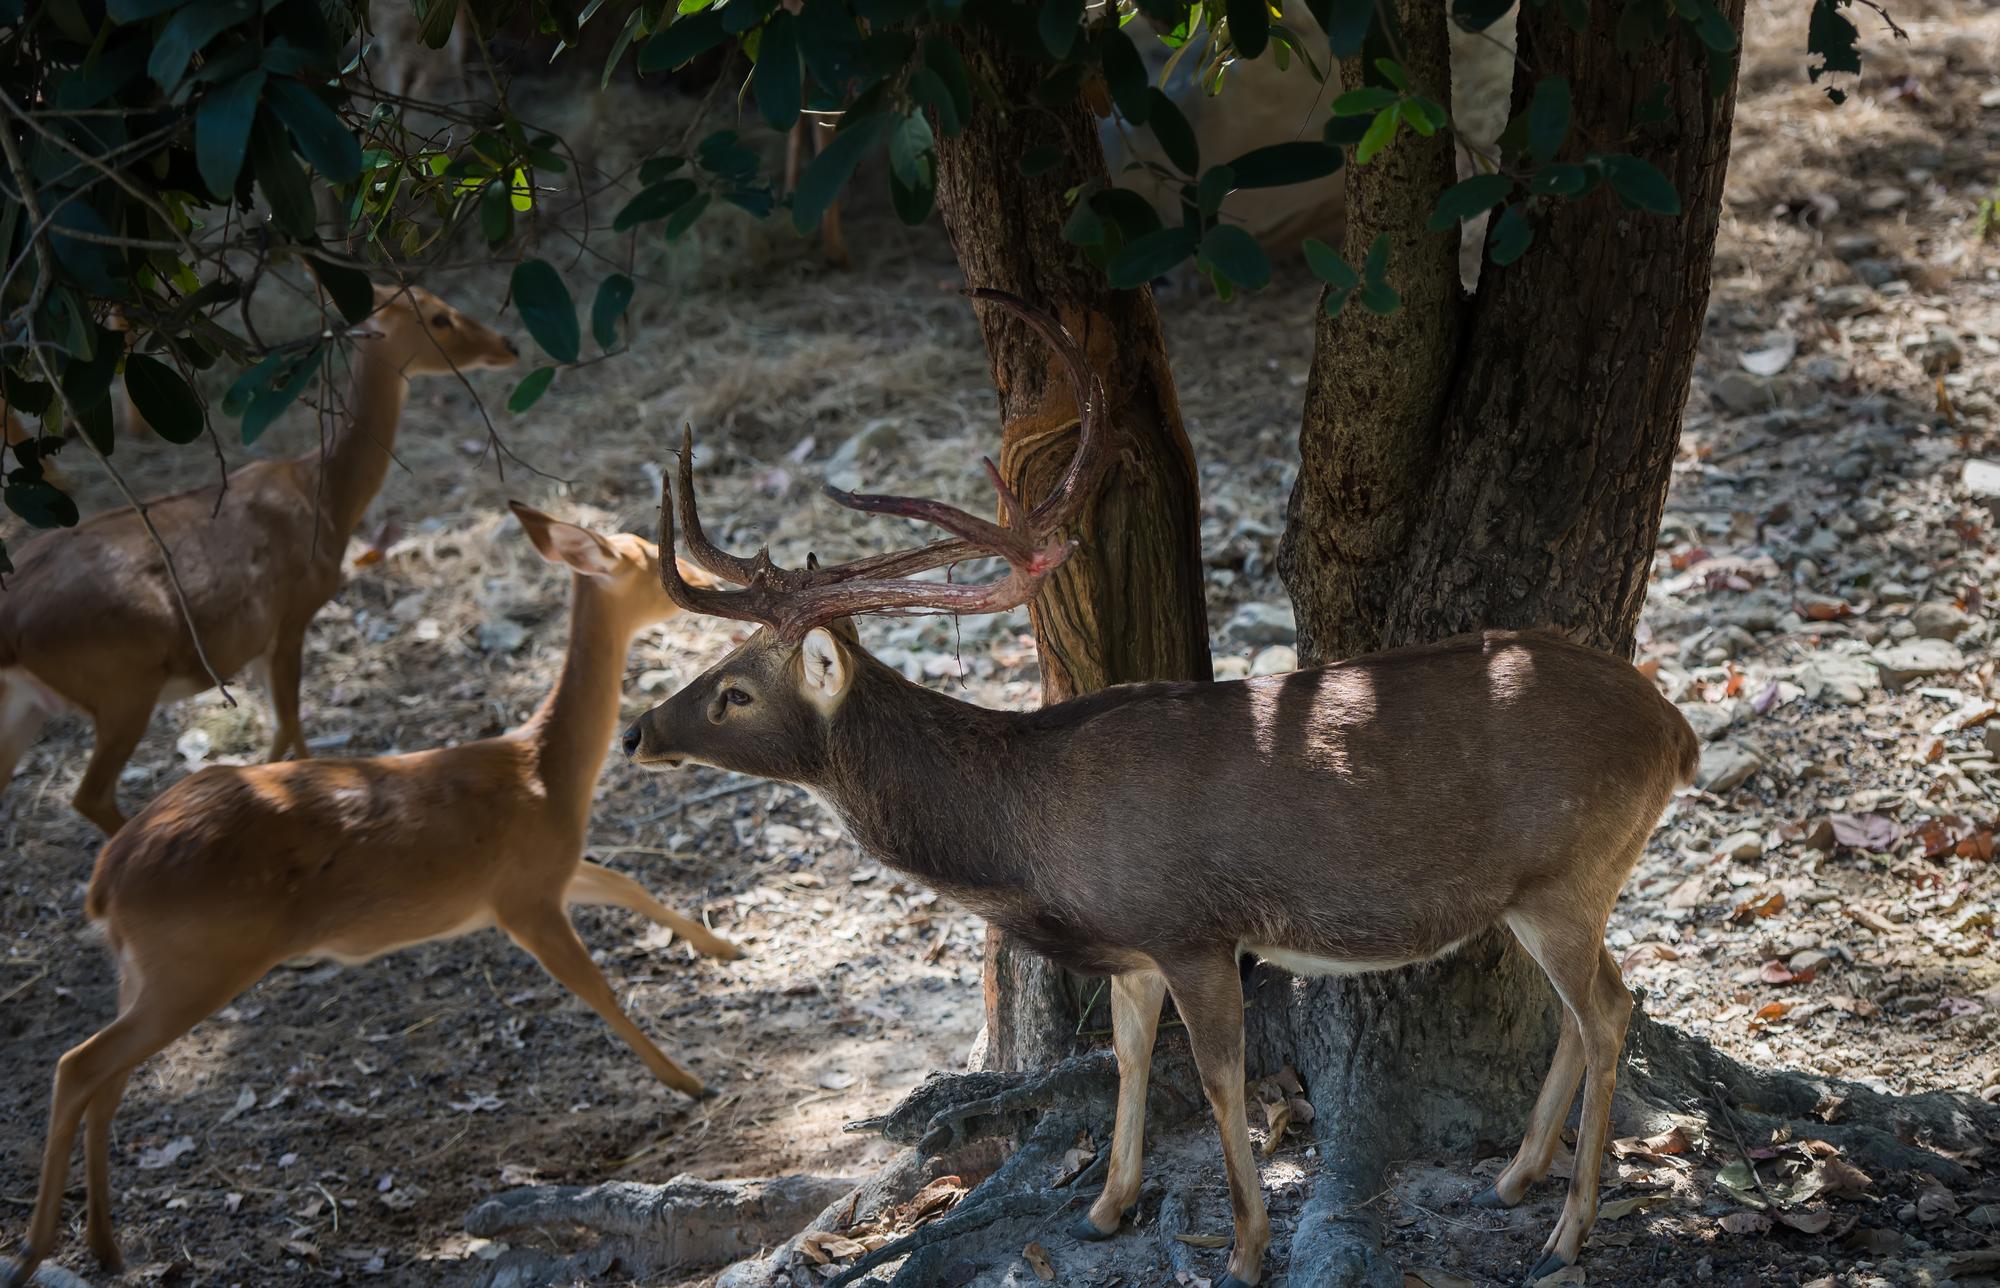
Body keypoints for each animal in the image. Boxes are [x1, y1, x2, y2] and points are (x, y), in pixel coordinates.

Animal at [0, 282, 517, 835]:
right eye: (439, 318)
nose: (508, 343)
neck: (326, 496)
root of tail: (12, 624)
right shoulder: (292, 615)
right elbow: (288, 725)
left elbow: (287, 727)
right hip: (122, 683)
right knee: (90, 796)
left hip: (29, 701)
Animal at [2, 502, 742, 1288]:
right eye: (649, 561)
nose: (703, 591)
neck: (545, 775)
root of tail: (104, 882)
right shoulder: (522, 898)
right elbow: (598, 987)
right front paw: (688, 1080)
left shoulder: (548, 872)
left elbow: (630, 883)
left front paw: (725, 946)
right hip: (195, 963)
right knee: (79, 1066)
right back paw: (36, 1249)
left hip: (143, 969)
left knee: (108, 1082)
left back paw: (104, 1245)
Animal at [620, 289, 1699, 1287]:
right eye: (718, 666)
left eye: (733, 692)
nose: (635, 730)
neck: (1031, 831)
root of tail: (1675, 732)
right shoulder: (1133, 943)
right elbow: (1131, 1054)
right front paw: (1107, 1204)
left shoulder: (1191, 926)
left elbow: (1219, 1079)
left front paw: (1246, 1248)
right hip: (1543, 886)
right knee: (1586, 1009)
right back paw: (1516, 1177)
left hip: (1571, 867)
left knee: (1609, 1008)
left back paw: (1567, 1231)